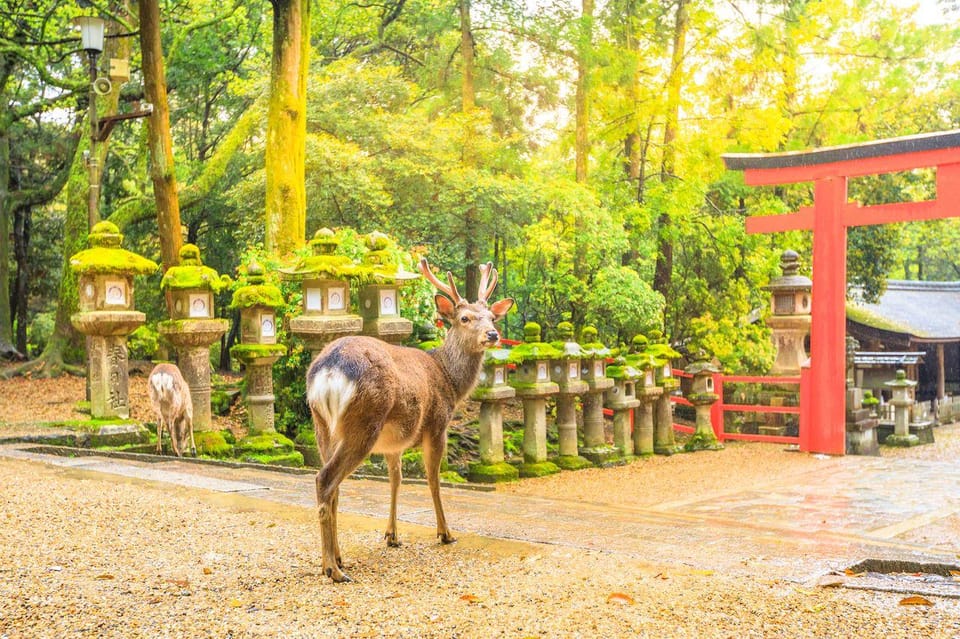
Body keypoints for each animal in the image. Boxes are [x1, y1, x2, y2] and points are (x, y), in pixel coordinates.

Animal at [310, 258, 516, 584]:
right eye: (465, 318)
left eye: (491, 318)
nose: (493, 335)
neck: (450, 380)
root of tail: (329, 370)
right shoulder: (437, 424)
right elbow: (433, 480)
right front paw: (445, 533)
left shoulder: (394, 443)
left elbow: (396, 480)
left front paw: (392, 535)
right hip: (363, 422)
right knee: (325, 479)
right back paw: (334, 569)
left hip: (322, 424)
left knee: (334, 488)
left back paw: (335, 559)